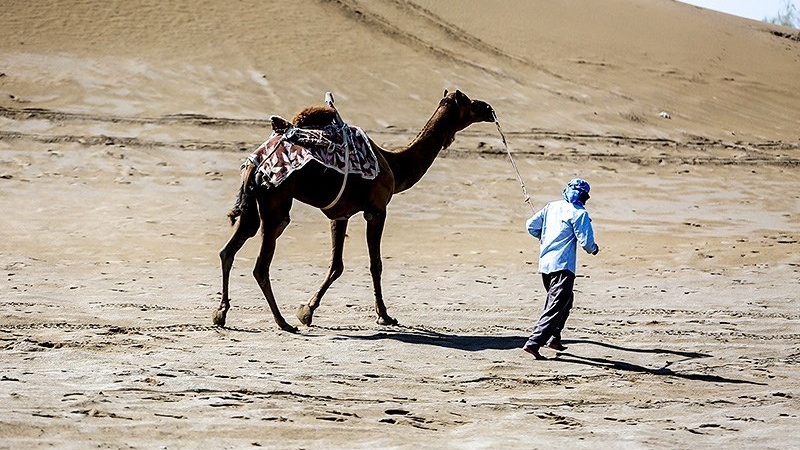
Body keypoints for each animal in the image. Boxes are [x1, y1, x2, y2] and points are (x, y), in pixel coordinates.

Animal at [214, 90, 496, 332]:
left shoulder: (340, 214)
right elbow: (375, 264)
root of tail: (256, 164)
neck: (393, 163)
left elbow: (336, 265)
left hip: (253, 204)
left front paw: (307, 310)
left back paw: (221, 313)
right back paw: (282, 322)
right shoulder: (377, 210)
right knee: (261, 264)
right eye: (468, 102)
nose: (488, 108)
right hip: (276, 202)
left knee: (229, 249)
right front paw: (385, 316)